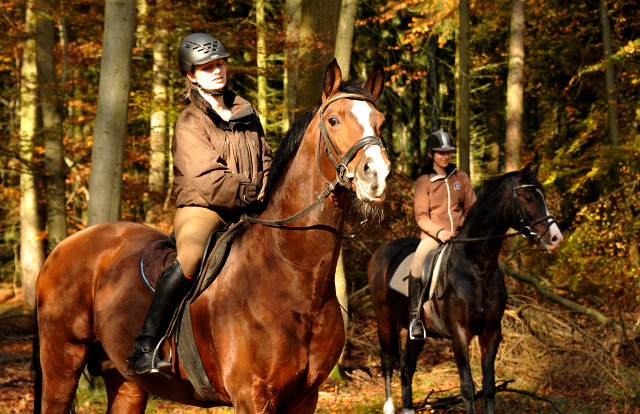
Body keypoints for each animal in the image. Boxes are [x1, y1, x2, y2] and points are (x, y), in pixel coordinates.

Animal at [33, 59, 390, 414]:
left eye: (381, 122)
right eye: (334, 120)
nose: (377, 175)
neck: (294, 275)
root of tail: (61, 249)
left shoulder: (305, 398)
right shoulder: (252, 397)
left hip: (126, 382)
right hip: (63, 361)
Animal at [368, 165, 564, 414]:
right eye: (528, 197)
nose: (556, 237)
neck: (477, 266)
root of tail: (382, 251)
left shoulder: (491, 331)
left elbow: (489, 385)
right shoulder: (460, 333)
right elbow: (467, 387)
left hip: (418, 334)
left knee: (406, 366)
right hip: (383, 318)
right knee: (386, 361)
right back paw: (389, 407)